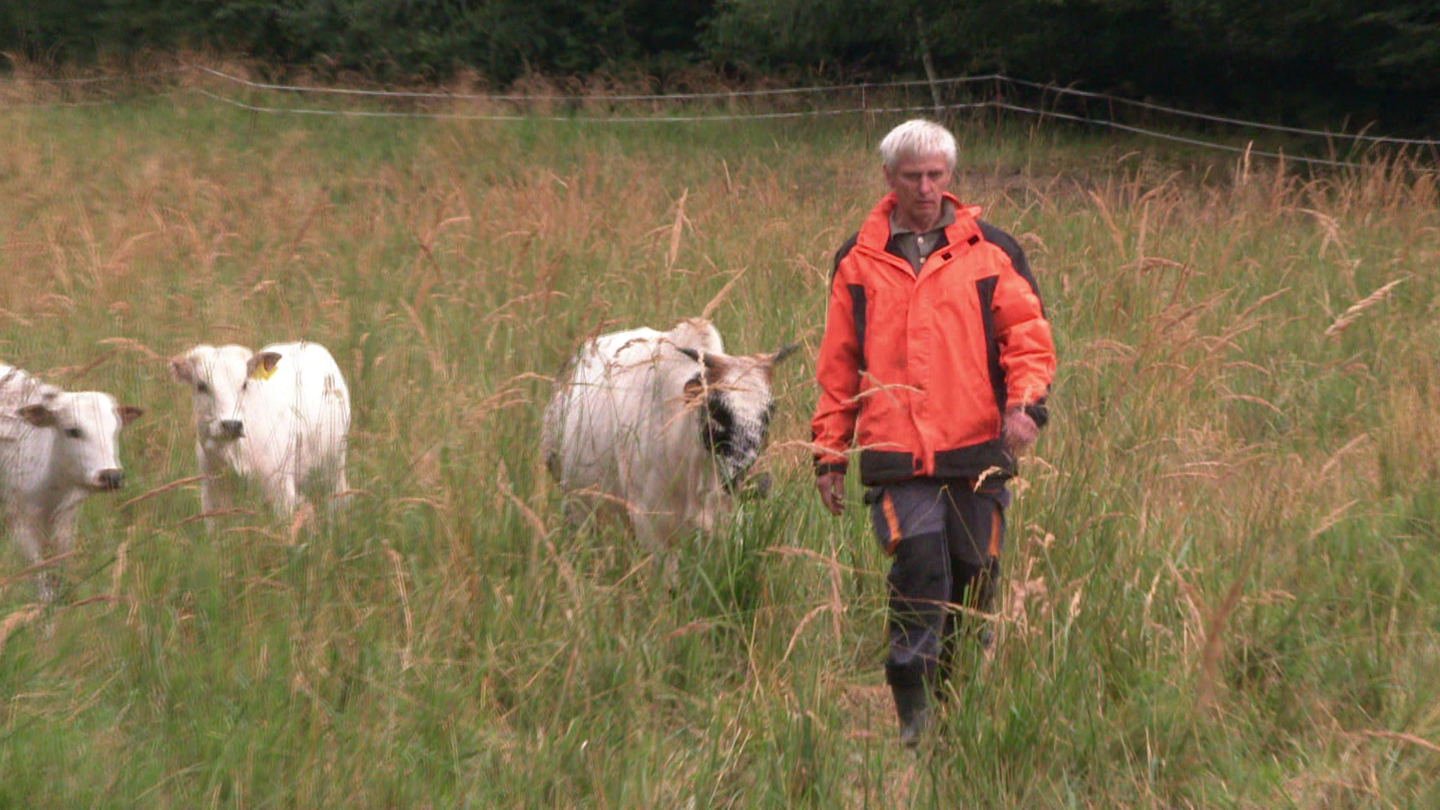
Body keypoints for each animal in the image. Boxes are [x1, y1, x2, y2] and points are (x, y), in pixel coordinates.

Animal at [0, 363, 143, 600]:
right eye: (73, 431)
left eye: (115, 431)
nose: (111, 476)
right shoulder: (20, 524)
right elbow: (40, 579)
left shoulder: (66, 519)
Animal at [169, 341, 351, 526]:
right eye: (202, 386)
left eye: (244, 384)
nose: (231, 425)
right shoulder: (212, 496)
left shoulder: (281, 491)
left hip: (335, 463)